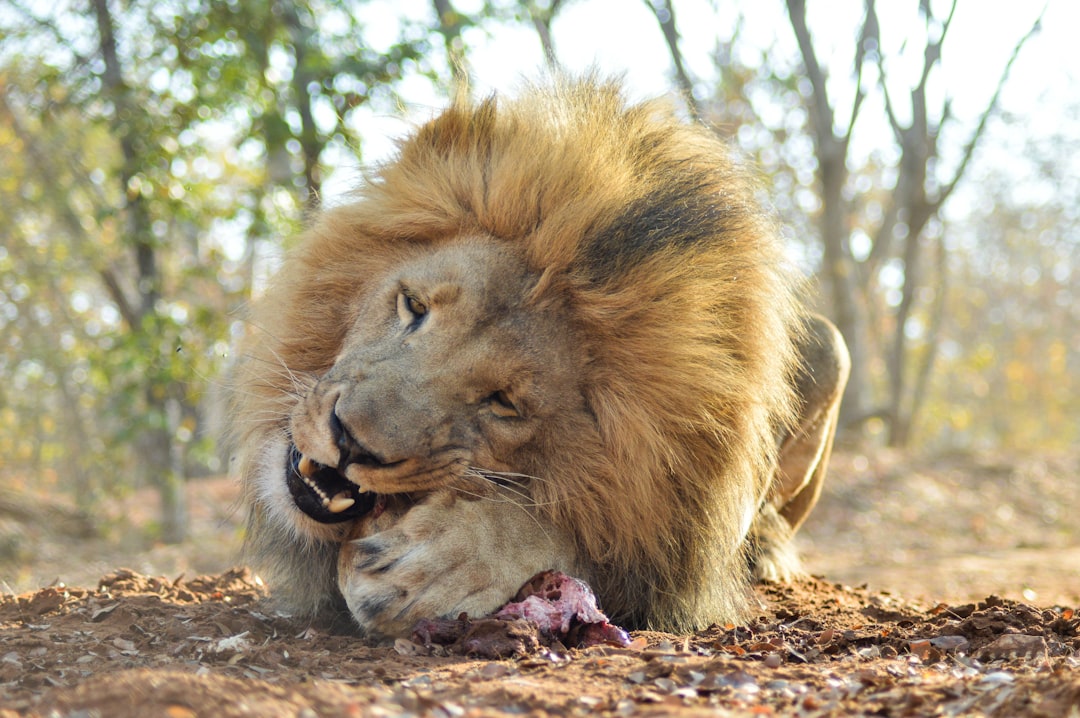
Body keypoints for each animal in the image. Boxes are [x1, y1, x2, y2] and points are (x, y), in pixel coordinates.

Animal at [226, 77, 849, 639]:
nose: (349, 440)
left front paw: (441, 562)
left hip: (830, 347)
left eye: (503, 403)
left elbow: (571, 533)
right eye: (413, 306)